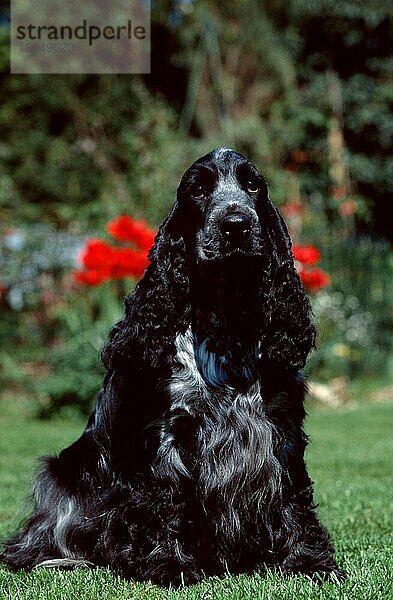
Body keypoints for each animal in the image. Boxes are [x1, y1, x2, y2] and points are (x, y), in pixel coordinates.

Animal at [0, 148, 344, 584]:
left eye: (252, 185)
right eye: (198, 188)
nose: (235, 225)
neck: (224, 322)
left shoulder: (281, 428)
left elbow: (294, 496)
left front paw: (309, 563)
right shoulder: (165, 435)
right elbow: (163, 499)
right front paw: (168, 565)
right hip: (62, 476)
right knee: (38, 540)